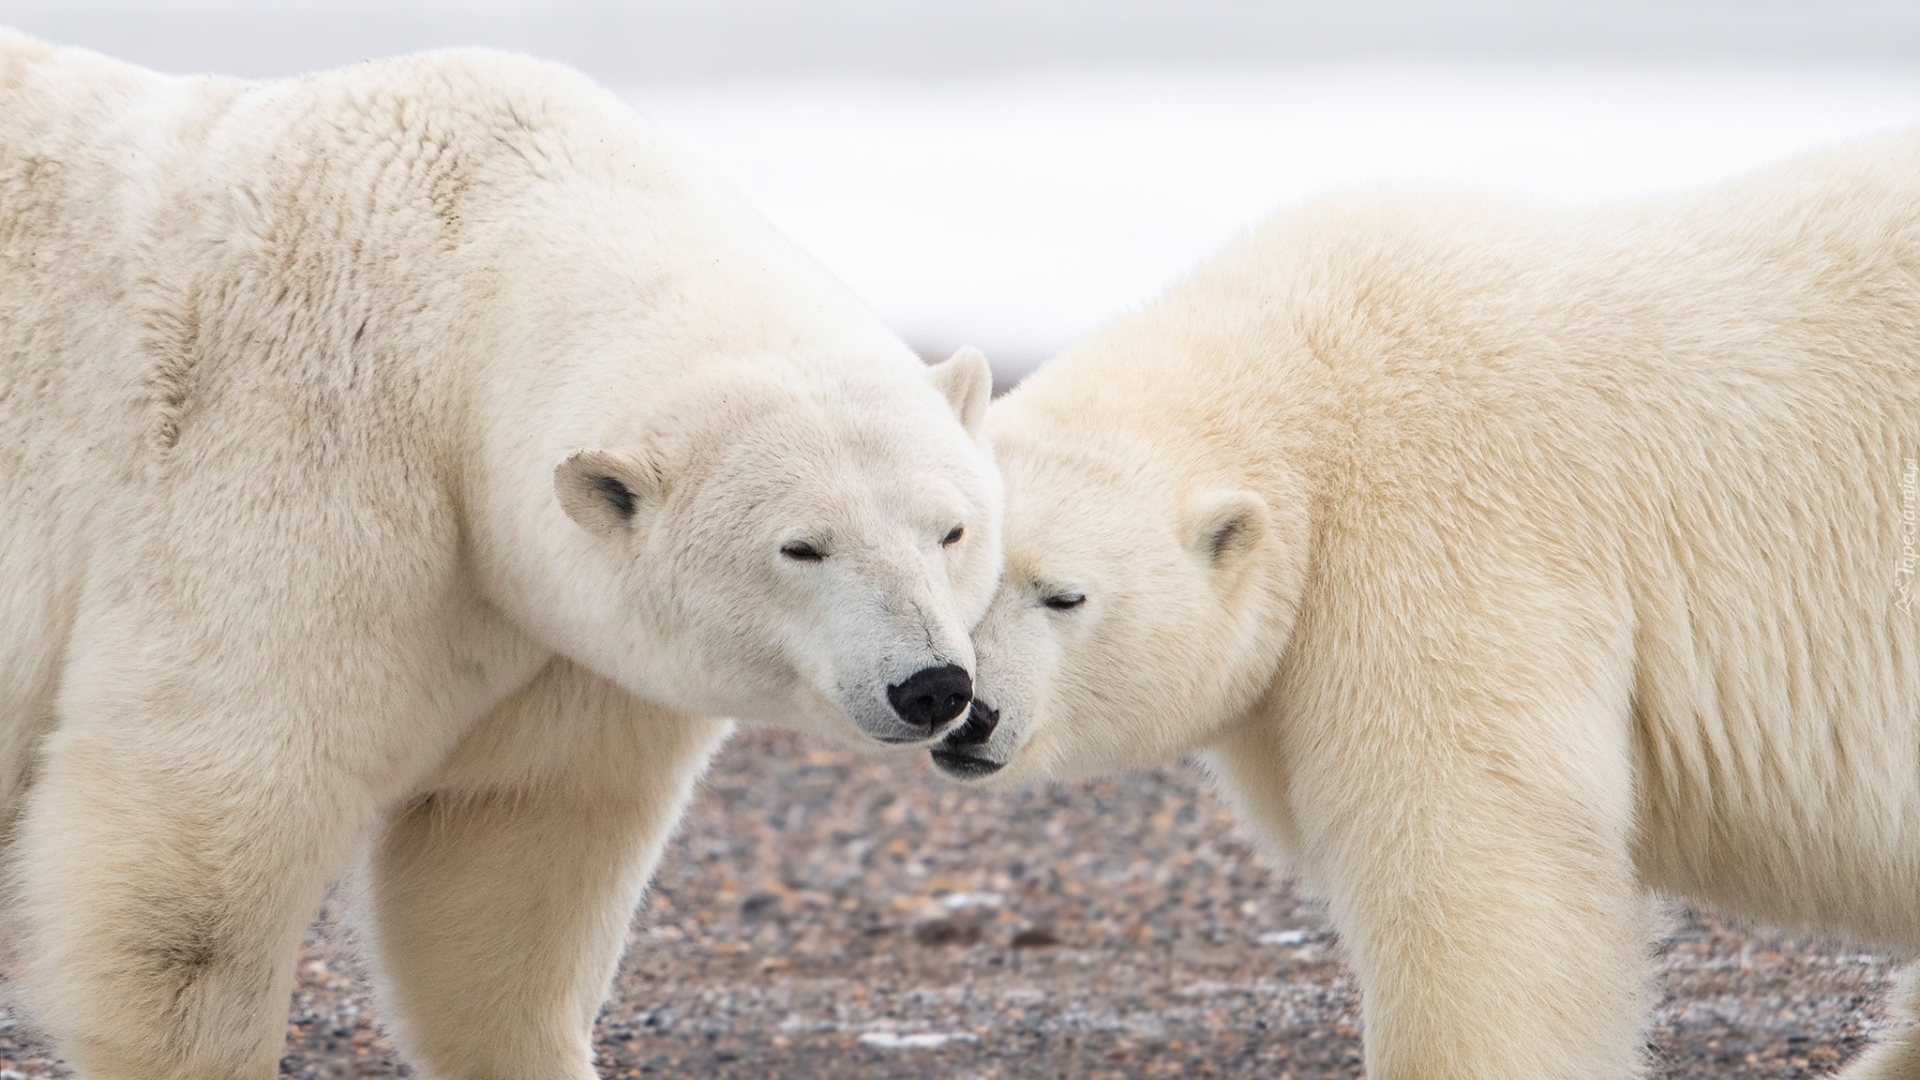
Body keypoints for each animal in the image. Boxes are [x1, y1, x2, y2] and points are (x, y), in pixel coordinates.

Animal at [3, 29, 1006, 1068]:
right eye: (801, 548)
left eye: (951, 530)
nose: (931, 685)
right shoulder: (297, 460)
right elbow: (205, 832)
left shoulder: (559, 636)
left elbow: (511, 863)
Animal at [936, 134, 1920, 1076]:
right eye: (952, 569)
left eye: (1062, 594)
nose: (969, 715)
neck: (1313, 372)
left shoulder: (1441, 541)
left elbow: (1470, 858)